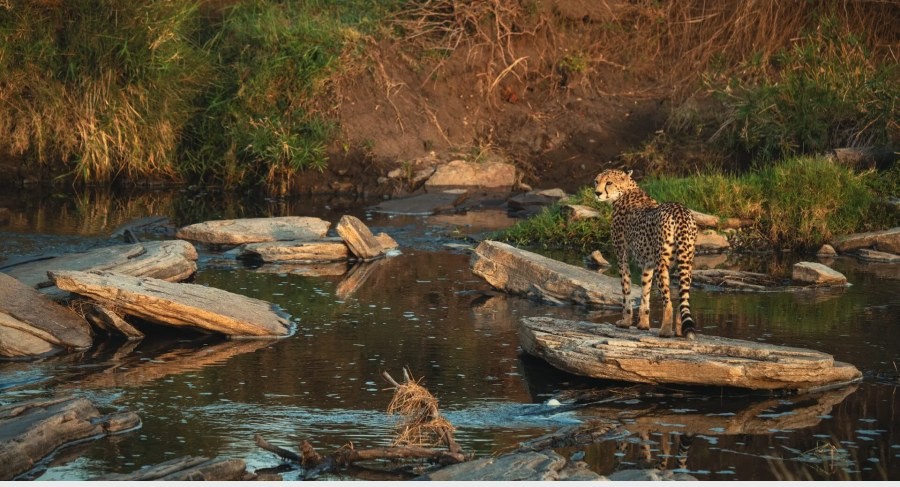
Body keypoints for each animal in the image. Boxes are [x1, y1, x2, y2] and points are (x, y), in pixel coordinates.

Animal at [593, 169, 699, 339]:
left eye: (609, 182)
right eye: (597, 181)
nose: (597, 193)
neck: (625, 192)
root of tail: (679, 208)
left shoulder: (622, 257)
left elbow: (626, 290)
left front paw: (625, 322)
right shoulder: (647, 263)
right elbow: (645, 292)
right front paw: (643, 324)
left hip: (662, 265)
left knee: (668, 301)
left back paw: (665, 332)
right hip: (686, 262)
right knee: (683, 297)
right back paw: (679, 331)